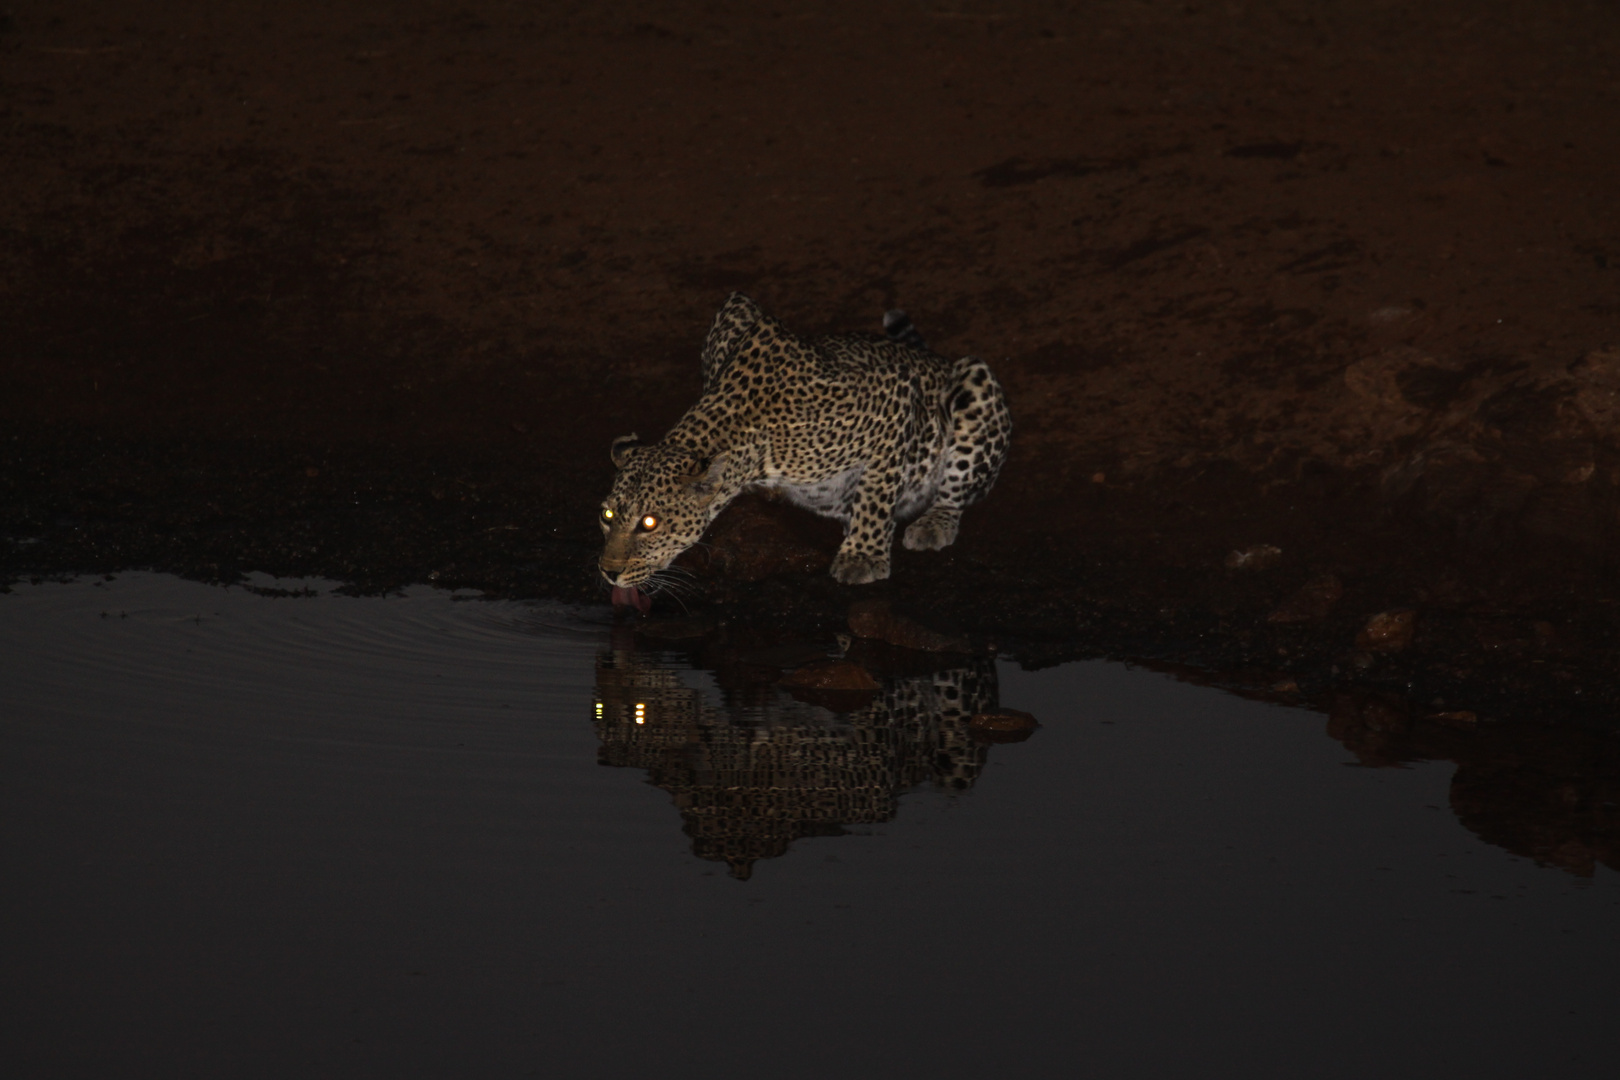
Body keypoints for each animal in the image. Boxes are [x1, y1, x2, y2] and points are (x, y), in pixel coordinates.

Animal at [602, 291, 1004, 605]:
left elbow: (876, 493)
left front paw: (863, 556)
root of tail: (941, 359)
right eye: (607, 516)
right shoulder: (734, 310)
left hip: (974, 379)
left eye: (649, 523)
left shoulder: (895, 394)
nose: (608, 573)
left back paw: (934, 523)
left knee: (956, 490)